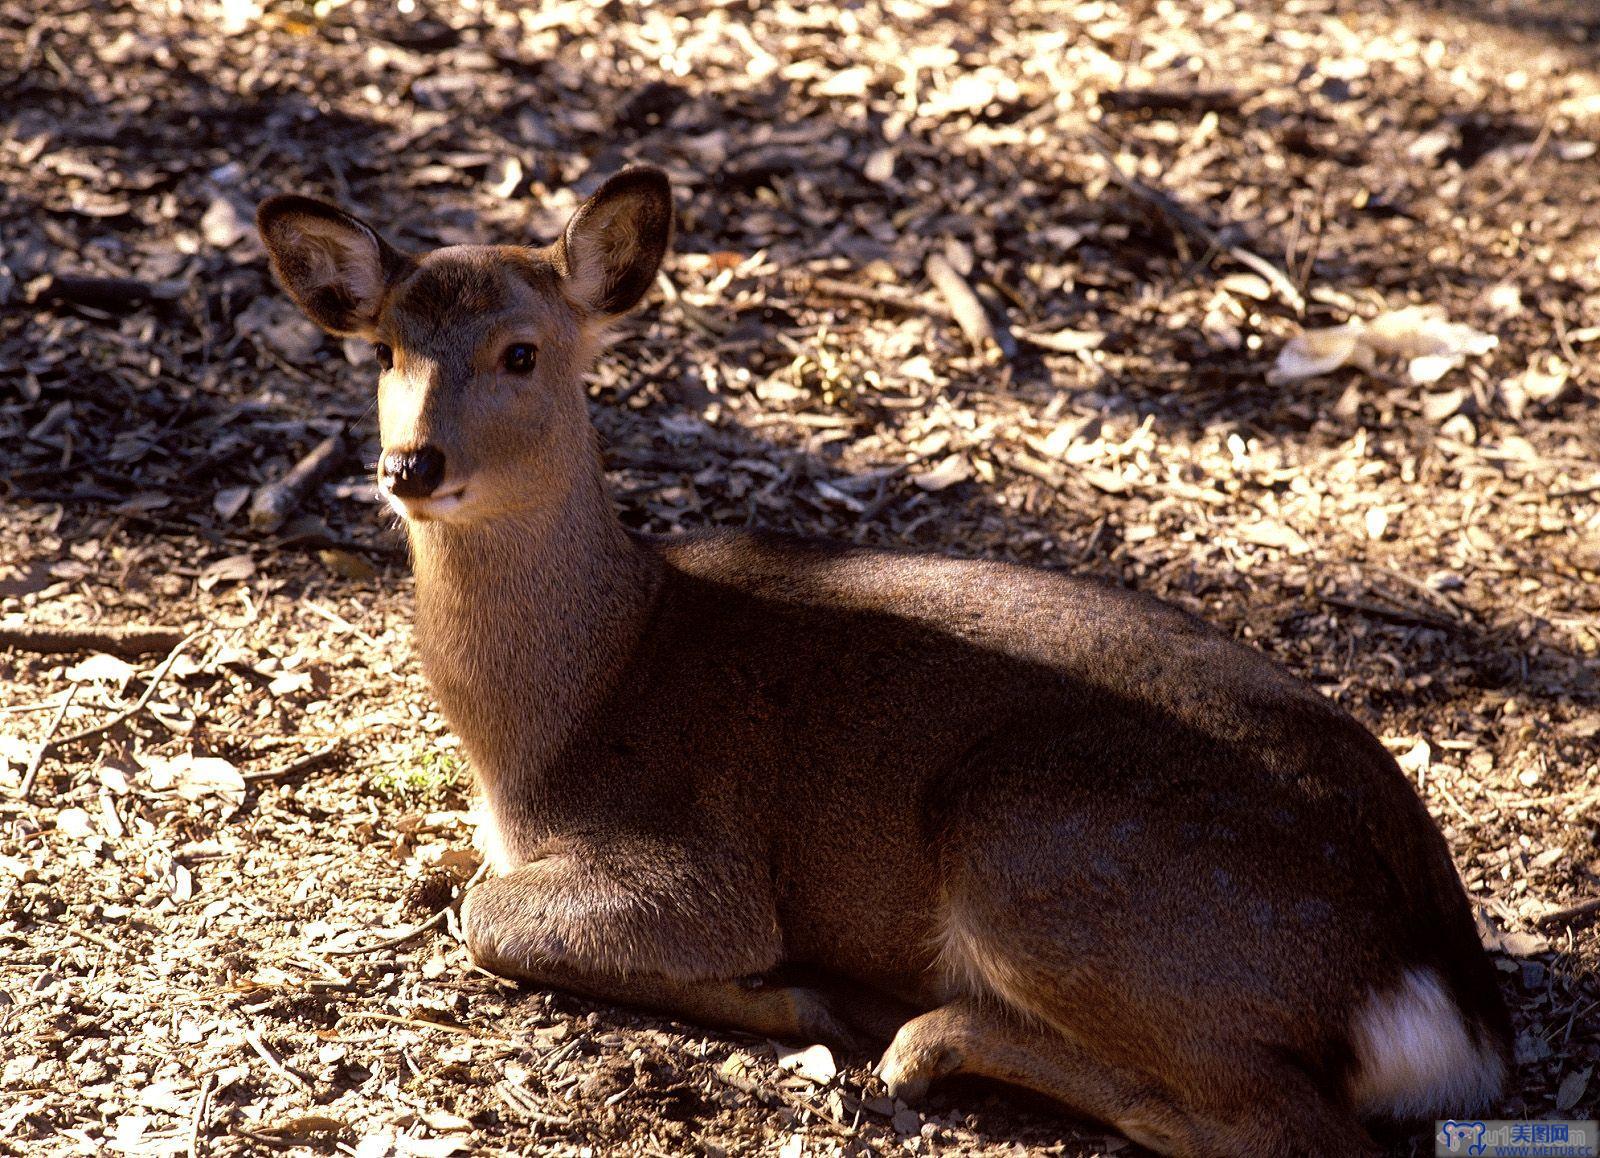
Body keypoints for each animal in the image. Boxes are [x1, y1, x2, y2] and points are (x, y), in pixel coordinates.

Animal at [256, 164, 1504, 1158]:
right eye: (382, 350)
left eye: (521, 351)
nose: (411, 465)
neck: (567, 701)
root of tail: (1442, 1001)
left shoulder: (690, 868)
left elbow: (487, 913)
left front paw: (800, 996)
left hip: (1043, 846)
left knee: (1274, 1124)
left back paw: (913, 1035)